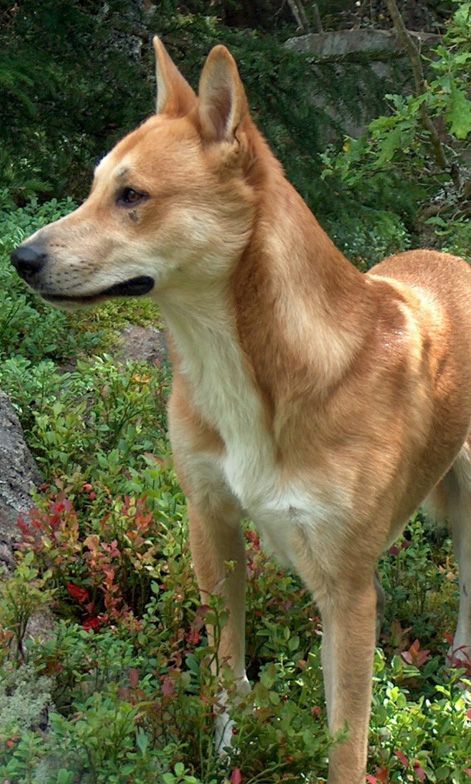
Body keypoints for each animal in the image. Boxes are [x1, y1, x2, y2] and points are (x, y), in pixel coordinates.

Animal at [10, 41, 471, 784]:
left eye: (132, 196)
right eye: (94, 187)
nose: (20, 258)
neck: (253, 372)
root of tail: (452, 259)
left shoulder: (347, 589)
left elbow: (346, 744)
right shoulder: (213, 528)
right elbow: (228, 672)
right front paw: (225, 753)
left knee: (466, 594)